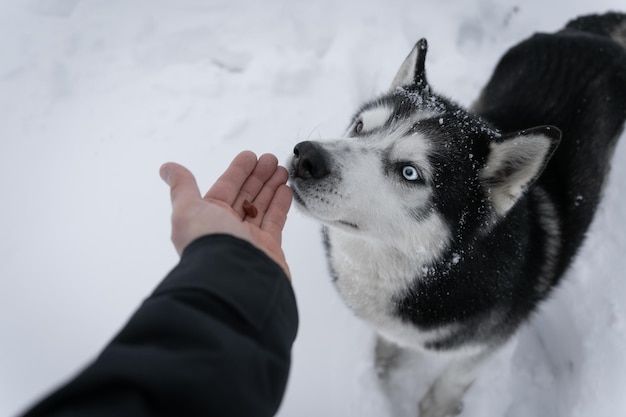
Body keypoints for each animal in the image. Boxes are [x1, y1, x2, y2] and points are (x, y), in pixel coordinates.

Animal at [288, 12, 624, 416]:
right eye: (360, 126)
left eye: (410, 172)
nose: (306, 157)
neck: (433, 271)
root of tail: (588, 33)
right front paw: (384, 362)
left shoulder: (490, 340)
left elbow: (458, 375)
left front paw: (437, 405)